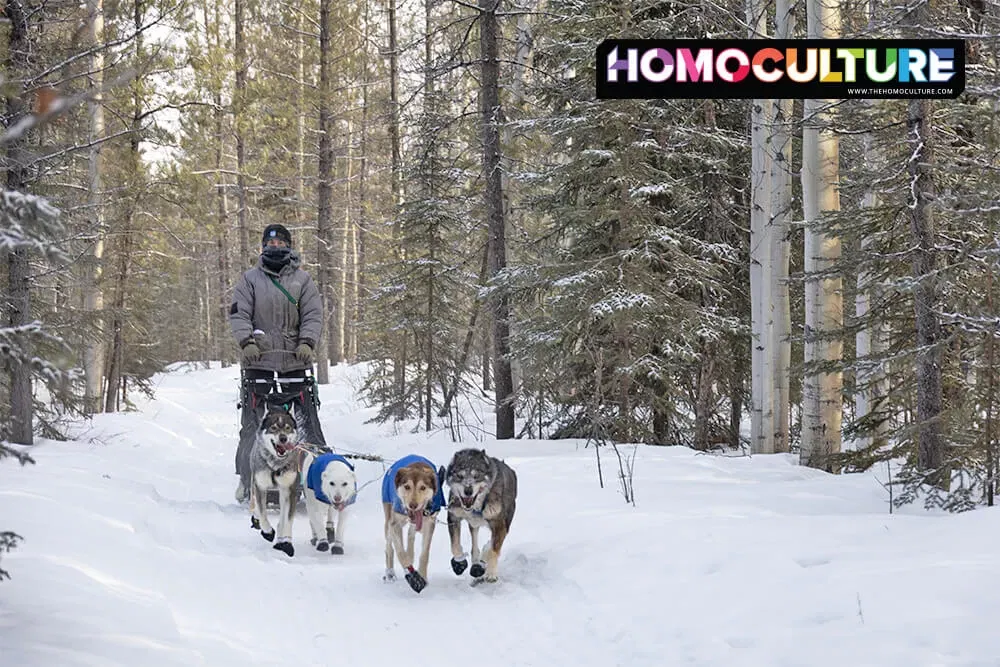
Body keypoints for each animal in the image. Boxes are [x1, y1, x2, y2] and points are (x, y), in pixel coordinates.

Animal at [247, 404, 300, 556]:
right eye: (274, 428)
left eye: (288, 428)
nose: (283, 438)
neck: (275, 465)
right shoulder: (260, 487)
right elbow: (263, 513)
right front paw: (268, 532)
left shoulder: (290, 490)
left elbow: (287, 519)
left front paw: (286, 542)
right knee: (256, 506)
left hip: (282, 493)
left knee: (282, 517)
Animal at [380, 454, 448, 596]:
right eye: (407, 486)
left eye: (423, 487)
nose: (413, 505)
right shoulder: (394, 524)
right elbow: (401, 553)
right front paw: (414, 578)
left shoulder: (429, 524)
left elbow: (424, 554)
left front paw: (422, 576)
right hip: (388, 519)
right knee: (389, 547)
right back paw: (390, 572)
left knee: (410, 535)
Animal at [448, 448, 520, 584]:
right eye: (460, 476)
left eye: (476, 476)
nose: (468, 491)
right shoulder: (453, 516)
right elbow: (455, 544)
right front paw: (459, 563)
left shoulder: (499, 524)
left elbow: (493, 549)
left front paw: (491, 573)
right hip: (474, 524)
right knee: (475, 546)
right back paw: (477, 565)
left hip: (506, 520)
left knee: (491, 544)